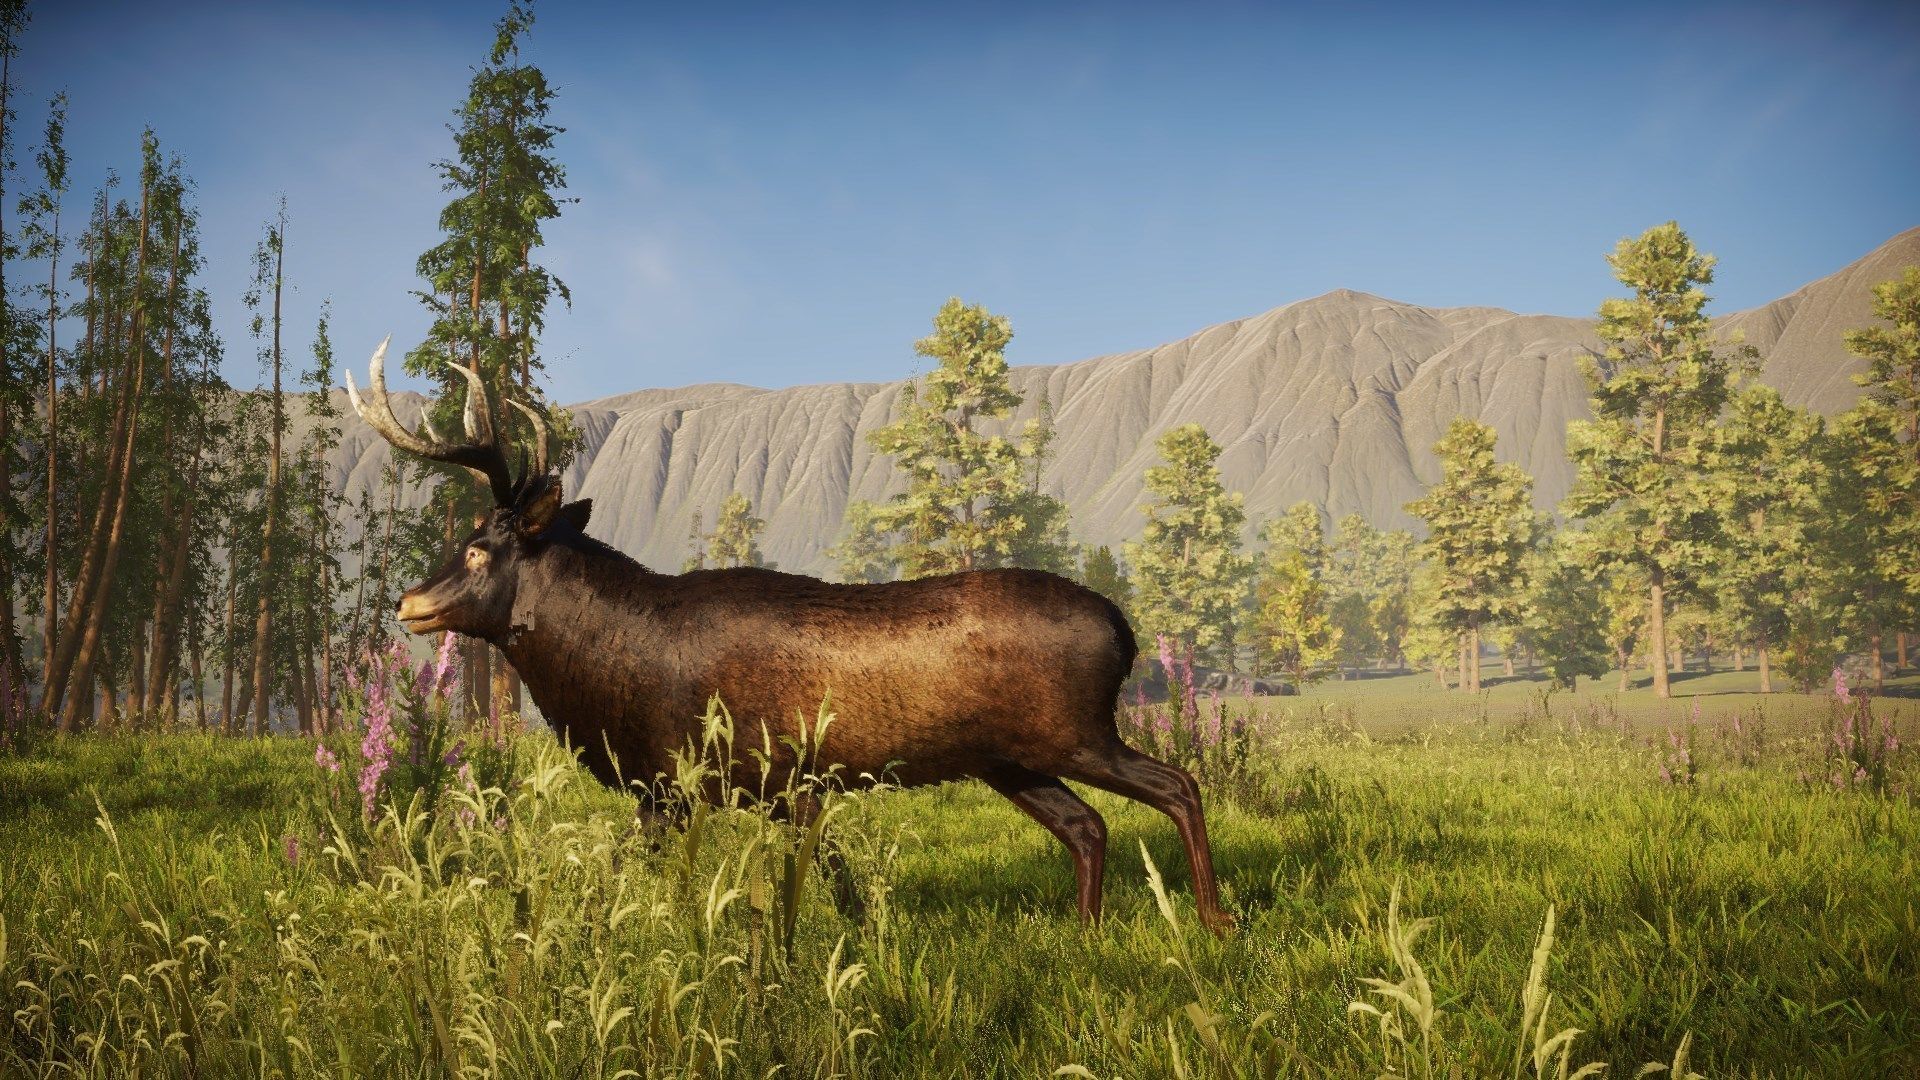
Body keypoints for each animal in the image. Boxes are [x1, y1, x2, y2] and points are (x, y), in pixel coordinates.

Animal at [347, 339, 1234, 933]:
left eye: (478, 546)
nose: (410, 603)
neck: (611, 676)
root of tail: (1125, 627)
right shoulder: (715, 789)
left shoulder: (738, 777)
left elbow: (777, 885)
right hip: (1011, 759)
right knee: (1089, 826)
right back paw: (1084, 931)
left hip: (1075, 729)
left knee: (1180, 785)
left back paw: (1214, 920)